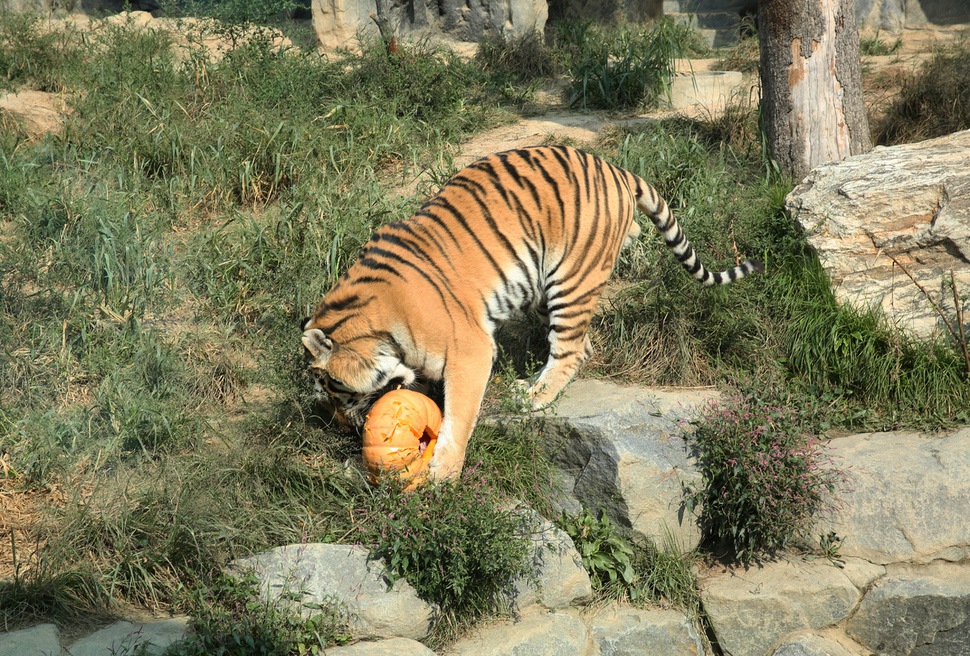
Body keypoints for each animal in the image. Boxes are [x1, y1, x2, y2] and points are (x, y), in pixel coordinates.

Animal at [298, 146, 760, 480]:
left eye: (337, 391)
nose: (345, 429)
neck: (377, 324)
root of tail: (615, 169)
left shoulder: (471, 352)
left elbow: (458, 417)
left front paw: (443, 475)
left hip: (572, 278)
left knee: (571, 349)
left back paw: (533, 397)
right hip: (540, 289)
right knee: (582, 346)